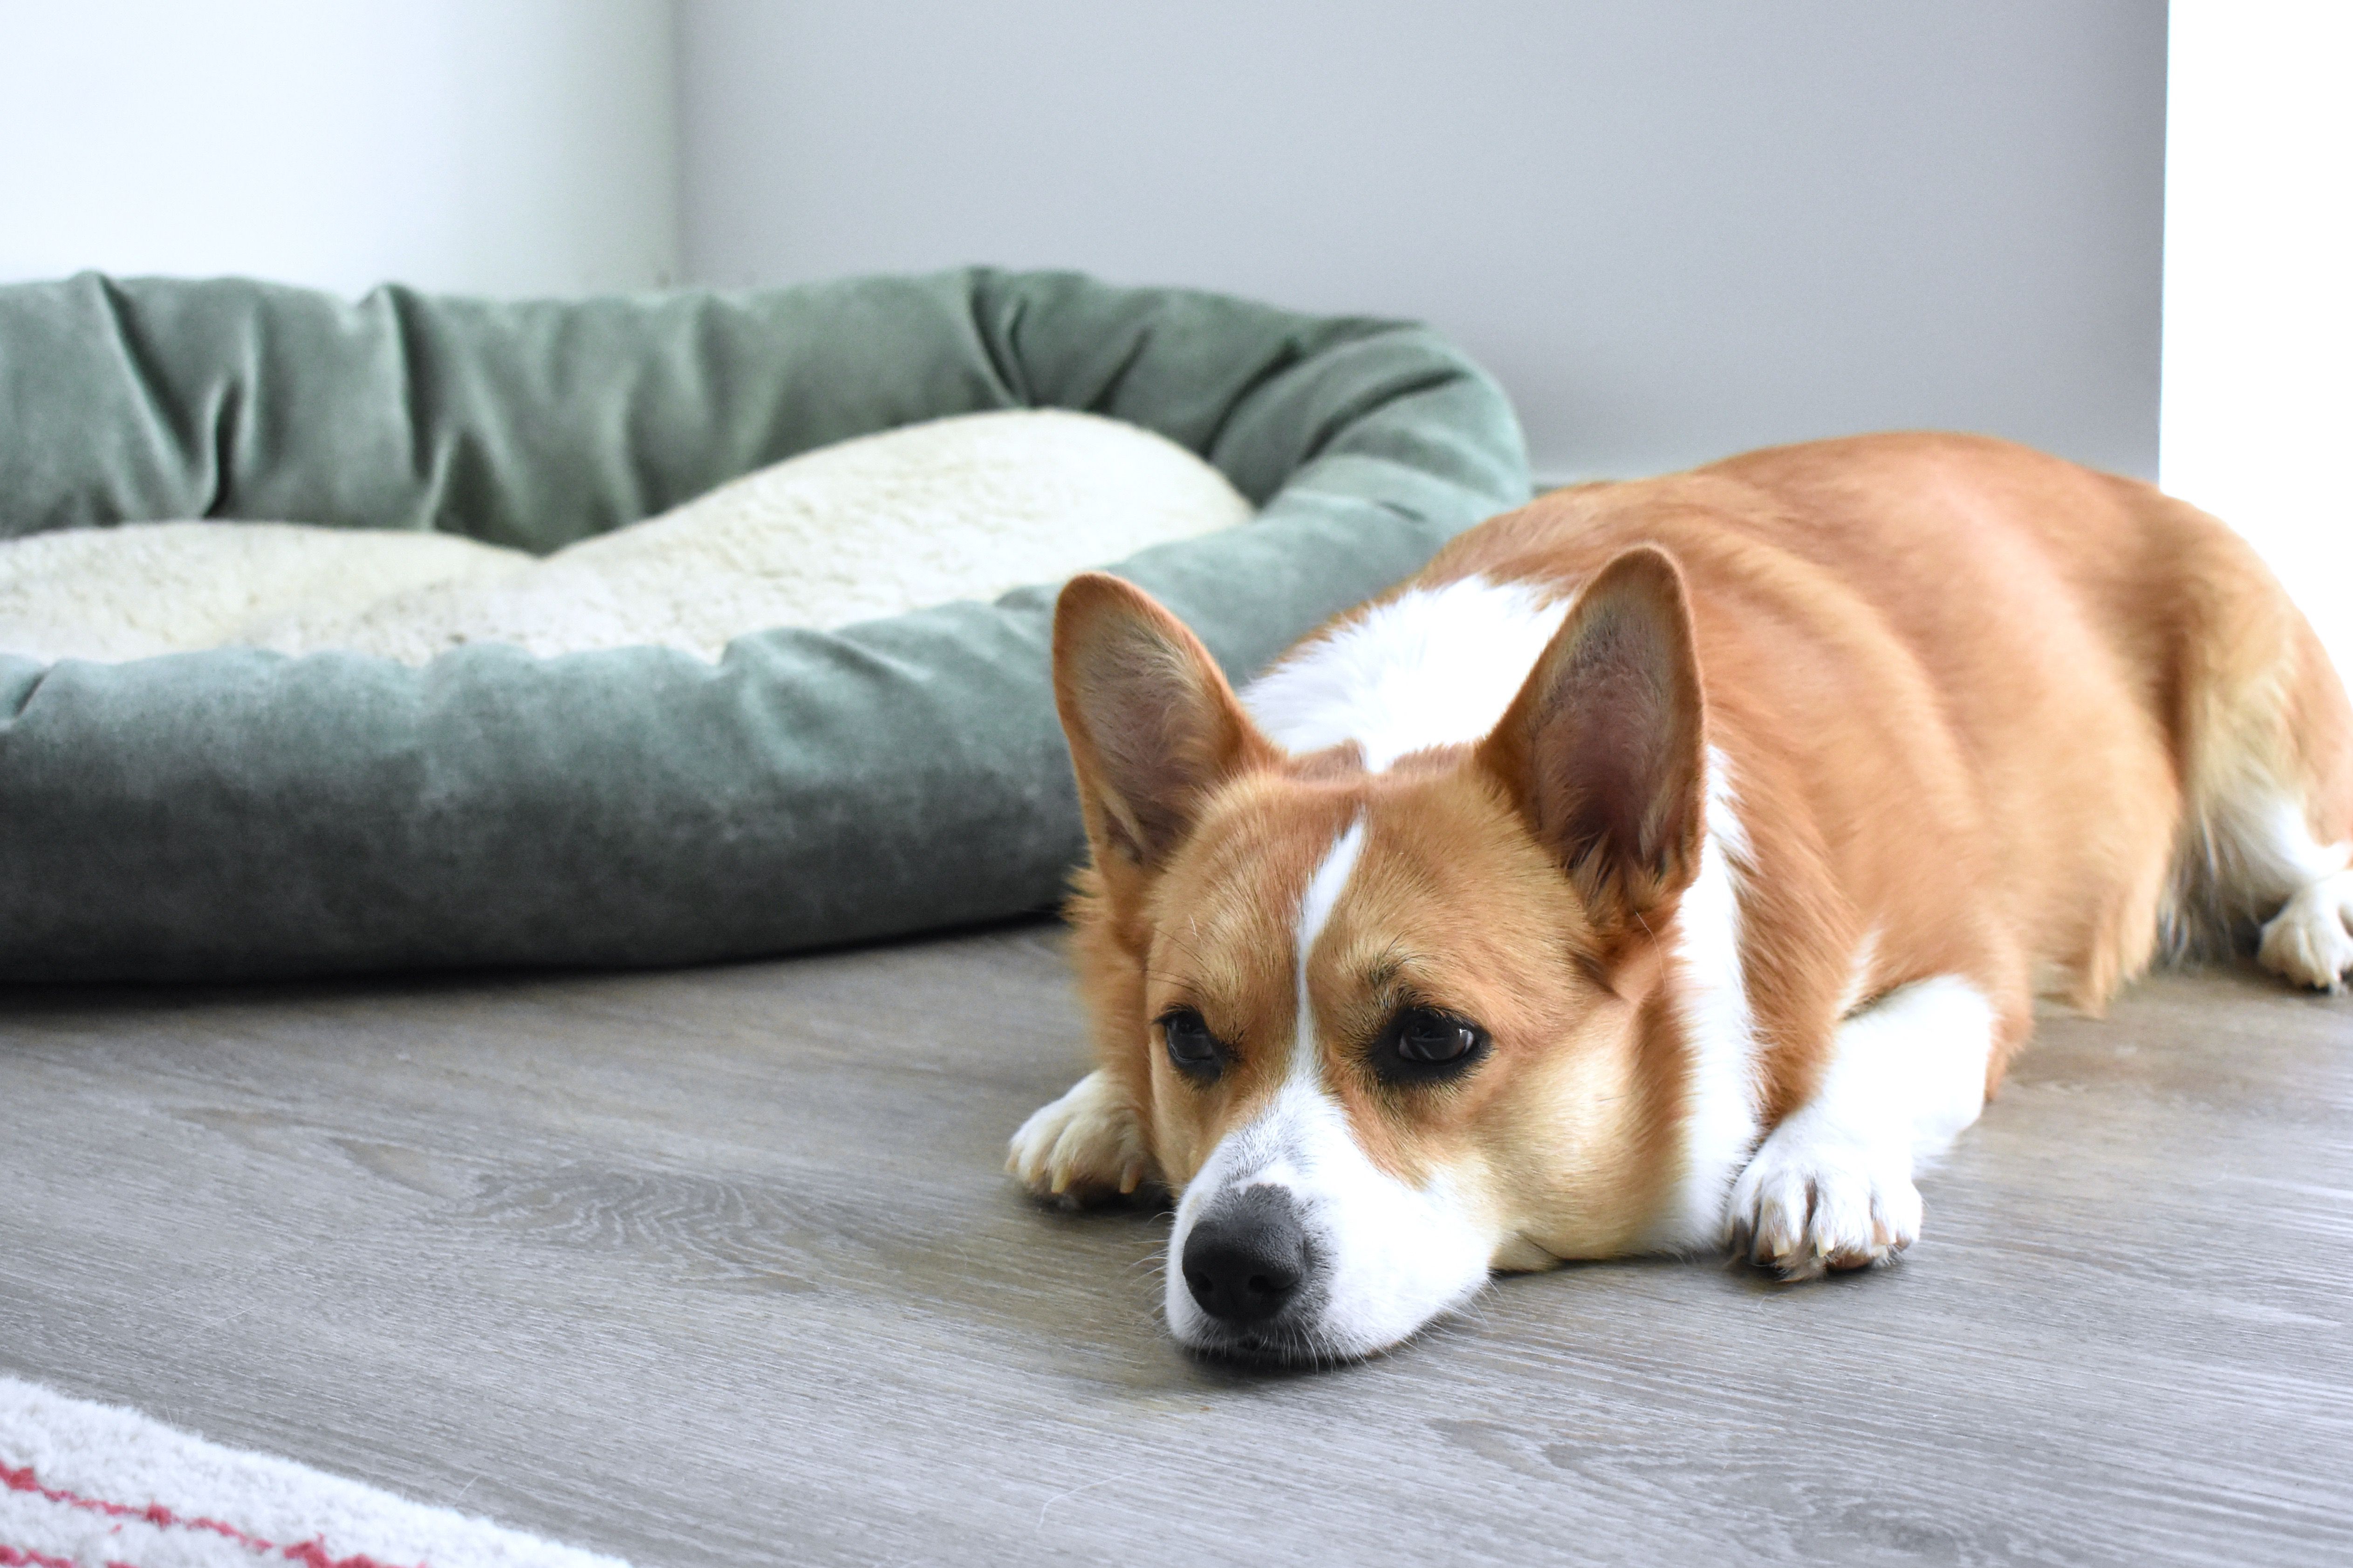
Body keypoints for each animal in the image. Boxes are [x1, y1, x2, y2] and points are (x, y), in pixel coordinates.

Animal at [1007, 435, 2353, 1363]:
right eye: (1188, 1037)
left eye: (1434, 1039)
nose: (1228, 1265)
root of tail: (2119, 476)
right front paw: (1099, 1107)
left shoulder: (1967, 963)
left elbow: (1865, 1055)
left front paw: (1817, 1163)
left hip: (2249, 747)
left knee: (2305, 843)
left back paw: (2318, 924)